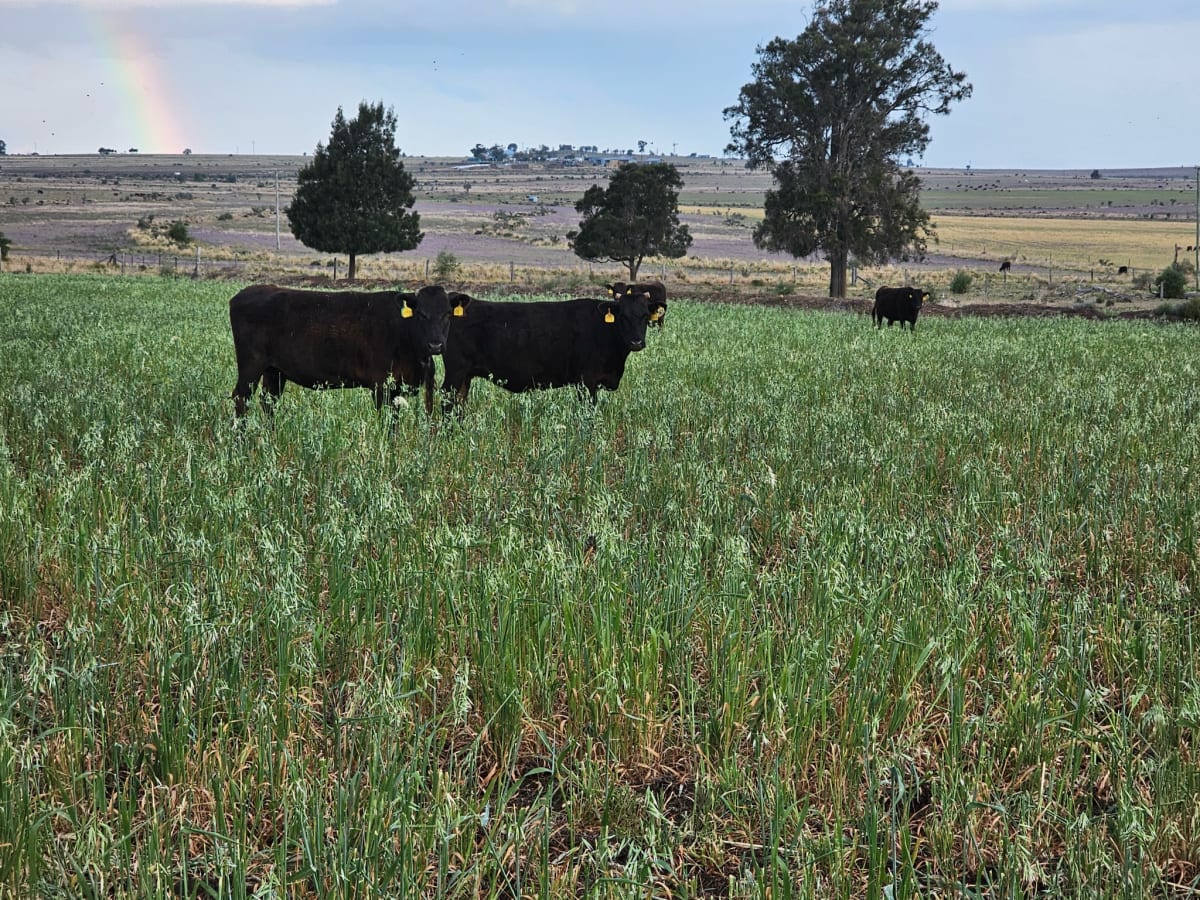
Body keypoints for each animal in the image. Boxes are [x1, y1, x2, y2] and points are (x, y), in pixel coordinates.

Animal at [229, 283, 458, 418]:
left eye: (448, 314)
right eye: (421, 314)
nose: (435, 345)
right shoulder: (380, 386)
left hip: (275, 371)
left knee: (268, 402)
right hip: (251, 366)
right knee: (241, 399)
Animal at [440, 288, 666, 410]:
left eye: (645, 315)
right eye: (623, 316)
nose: (636, 342)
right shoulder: (586, 381)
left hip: (465, 377)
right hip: (455, 371)